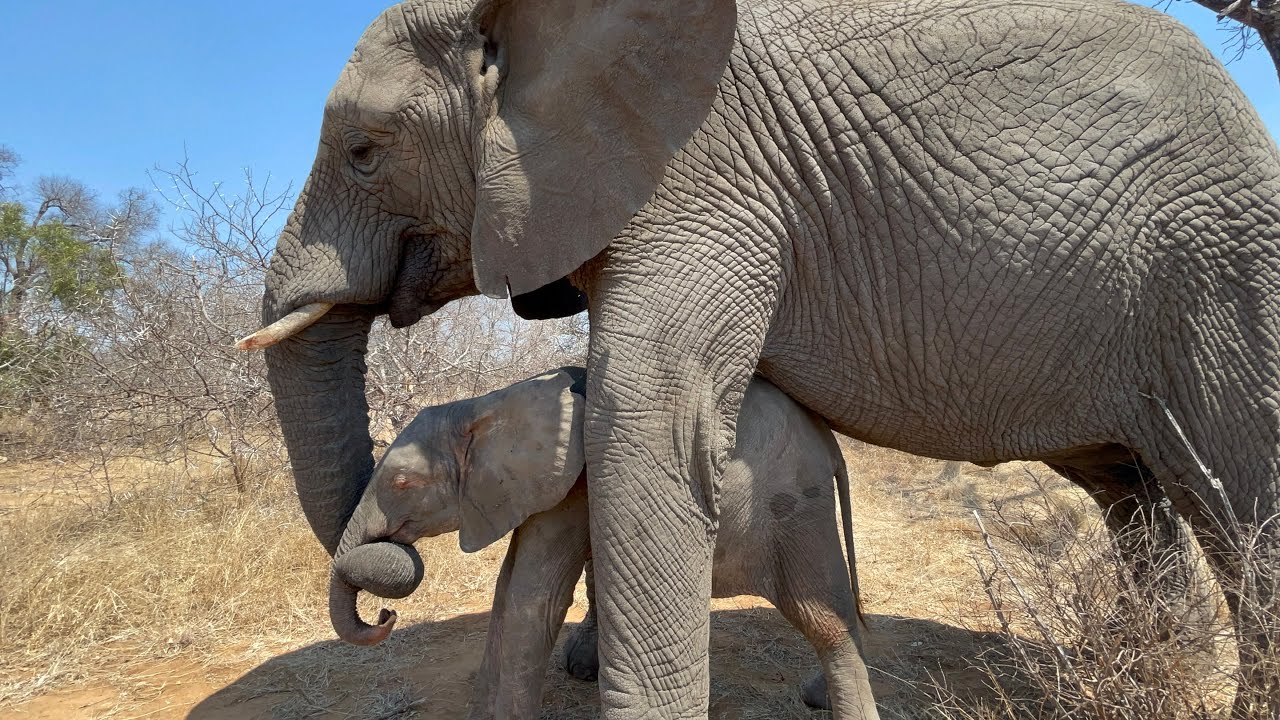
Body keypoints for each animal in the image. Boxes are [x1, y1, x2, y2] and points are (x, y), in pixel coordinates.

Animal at [327, 367, 878, 718]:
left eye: (402, 483)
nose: (385, 614)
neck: (488, 403)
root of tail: (827, 439)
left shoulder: (575, 485)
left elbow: (535, 598)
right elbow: (508, 590)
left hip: (795, 510)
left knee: (825, 621)